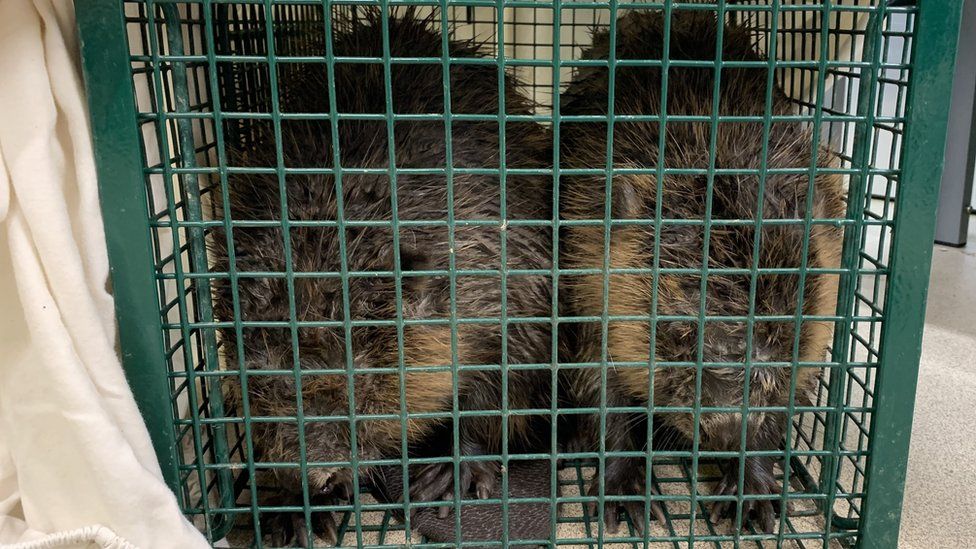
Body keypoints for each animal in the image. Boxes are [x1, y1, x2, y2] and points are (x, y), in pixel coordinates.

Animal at [210, 8, 552, 544]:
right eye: (260, 369)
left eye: (363, 376)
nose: (312, 475)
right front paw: (293, 511)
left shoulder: (510, 277)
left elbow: (501, 380)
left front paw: (452, 473)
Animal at [556, 9, 848, 536]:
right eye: (675, 328)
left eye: (781, 328)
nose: (727, 426)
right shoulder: (586, 269)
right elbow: (601, 382)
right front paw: (625, 491)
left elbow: (789, 395)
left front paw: (750, 493)